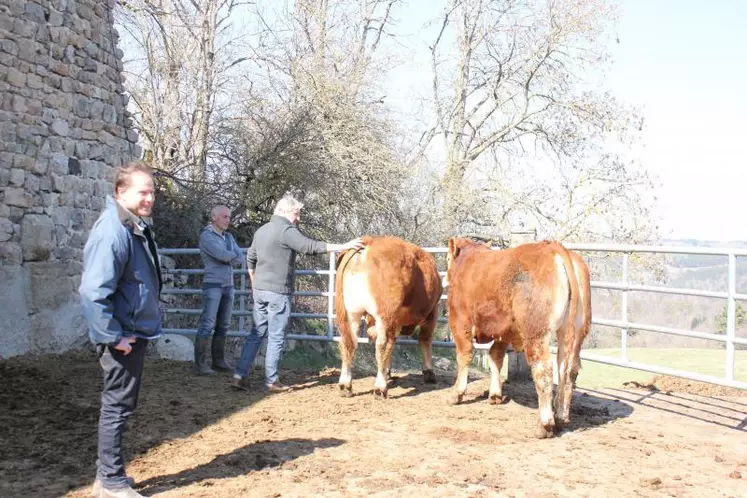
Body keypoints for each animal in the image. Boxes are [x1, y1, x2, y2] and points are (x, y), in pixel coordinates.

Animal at [334, 236, 444, 396]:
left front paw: (387, 371)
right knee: (382, 345)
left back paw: (345, 385)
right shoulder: (432, 312)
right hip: (385, 314)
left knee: (348, 342)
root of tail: (370, 241)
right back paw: (380, 387)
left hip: (352, 313)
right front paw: (429, 373)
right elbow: (425, 340)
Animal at [448, 239, 592, 438]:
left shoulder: (460, 320)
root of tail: (555, 247)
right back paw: (561, 418)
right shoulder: (503, 329)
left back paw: (545, 425)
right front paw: (495, 395)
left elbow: (464, 355)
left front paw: (456, 394)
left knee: (544, 369)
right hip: (575, 332)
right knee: (568, 368)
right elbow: (496, 356)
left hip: (536, 332)